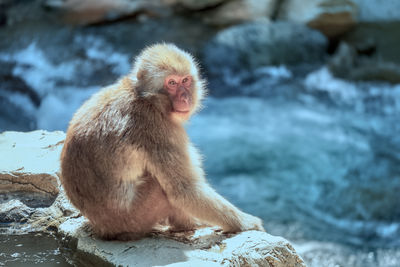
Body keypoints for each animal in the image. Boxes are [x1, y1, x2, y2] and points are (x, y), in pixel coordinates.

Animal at [59, 43, 264, 241]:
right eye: (171, 83)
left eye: (185, 81)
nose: (185, 97)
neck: (146, 98)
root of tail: (103, 229)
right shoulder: (157, 128)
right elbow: (184, 189)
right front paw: (246, 222)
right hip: (135, 217)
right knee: (162, 188)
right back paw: (185, 225)